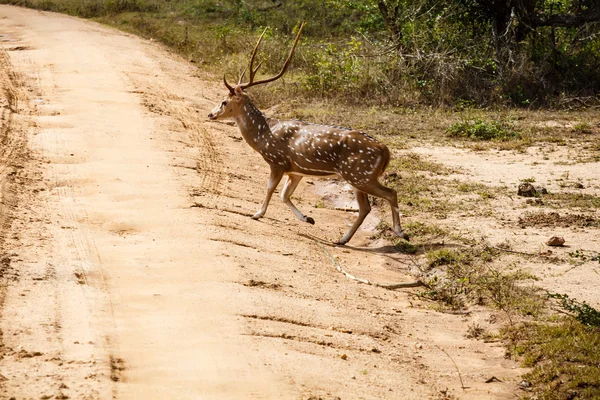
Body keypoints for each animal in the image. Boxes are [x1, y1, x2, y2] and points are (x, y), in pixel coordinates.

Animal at [205, 24, 408, 247]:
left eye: (224, 101)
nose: (210, 114)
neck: (263, 137)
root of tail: (385, 151)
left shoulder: (277, 161)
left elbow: (270, 189)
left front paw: (257, 213)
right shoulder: (295, 170)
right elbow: (284, 195)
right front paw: (308, 218)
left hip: (360, 174)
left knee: (390, 193)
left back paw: (401, 232)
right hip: (358, 177)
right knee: (366, 207)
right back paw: (342, 239)